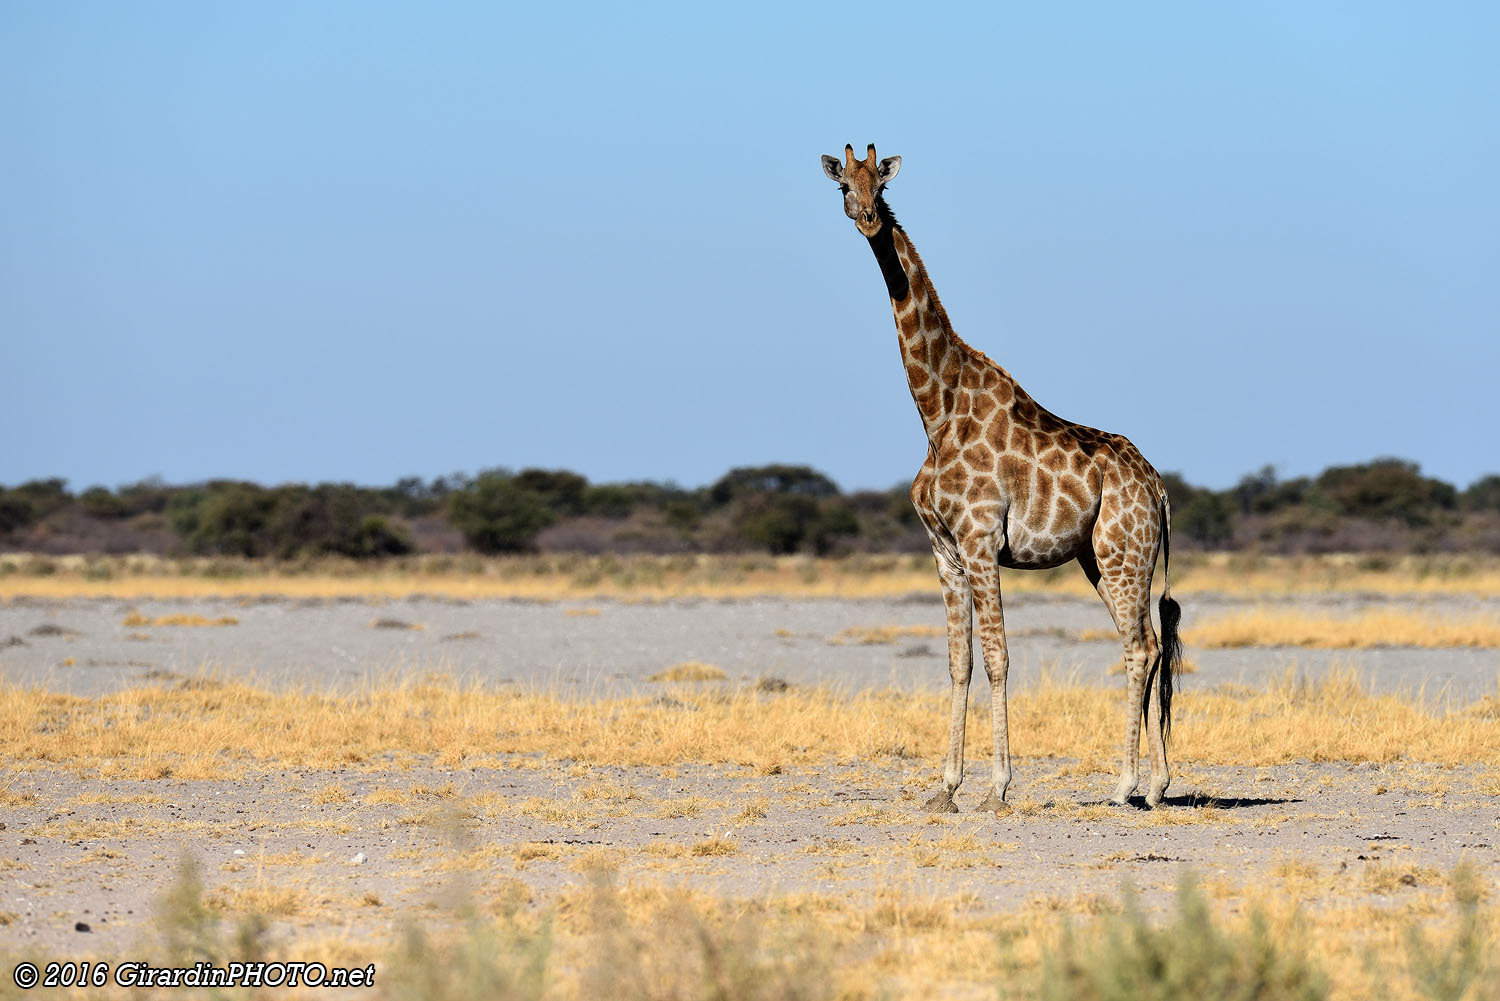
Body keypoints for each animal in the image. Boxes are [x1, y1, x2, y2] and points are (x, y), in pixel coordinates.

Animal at [822, 142, 1182, 816]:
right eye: (842, 187)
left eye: (881, 182)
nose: (869, 219)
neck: (936, 408)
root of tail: (1158, 488)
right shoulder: (944, 550)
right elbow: (958, 661)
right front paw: (945, 787)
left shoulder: (982, 540)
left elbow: (998, 657)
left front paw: (997, 787)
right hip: (1102, 559)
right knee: (1143, 644)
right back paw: (1153, 785)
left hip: (1123, 554)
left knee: (1142, 647)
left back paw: (1128, 784)